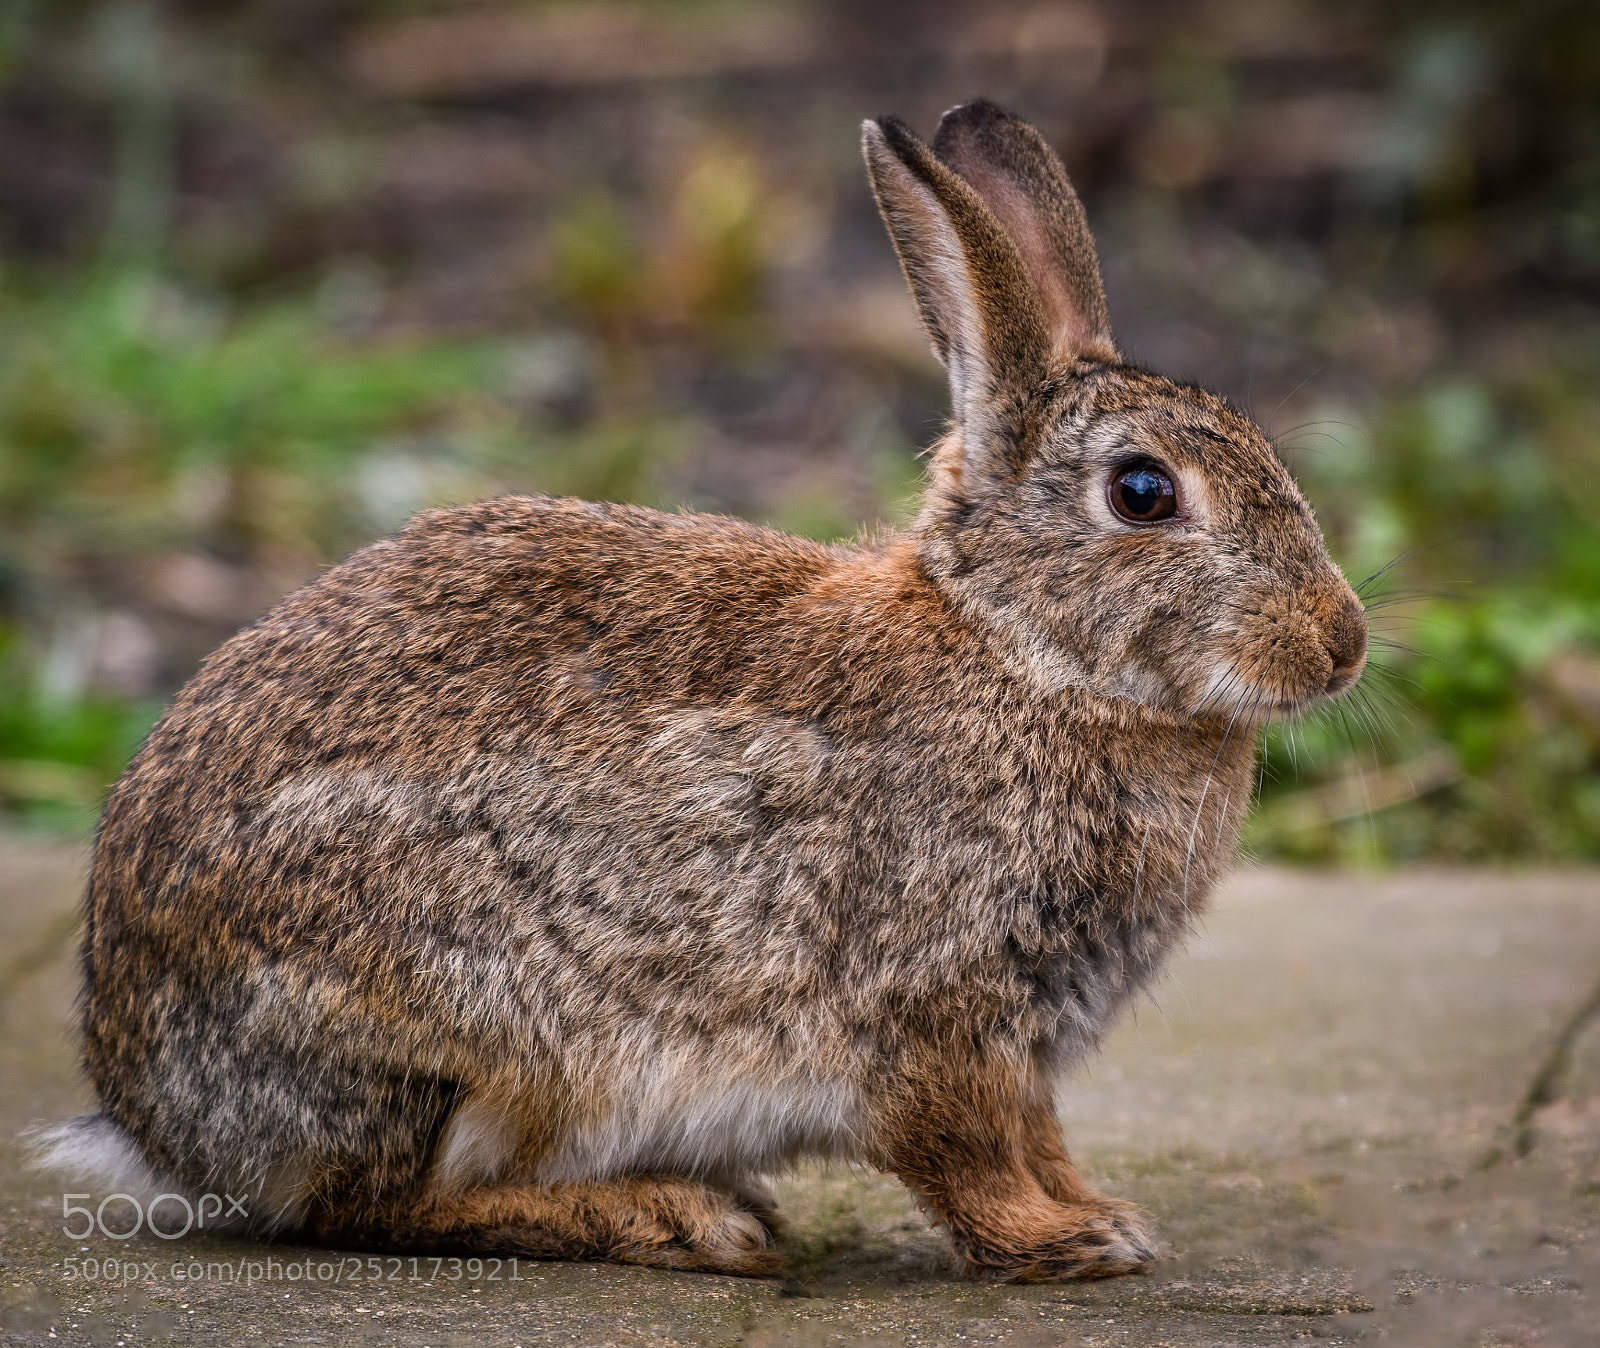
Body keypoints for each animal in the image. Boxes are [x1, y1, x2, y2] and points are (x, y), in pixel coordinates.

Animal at [35, 99, 1366, 1284]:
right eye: (1143, 493)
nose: (1342, 643)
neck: (1021, 650)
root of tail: (152, 1115)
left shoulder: (1025, 1043)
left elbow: (1036, 1136)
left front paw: (1099, 1211)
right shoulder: (932, 1006)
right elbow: (961, 1151)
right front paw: (1065, 1244)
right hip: (475, 1025)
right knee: (377, 1205)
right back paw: (673, 1217)